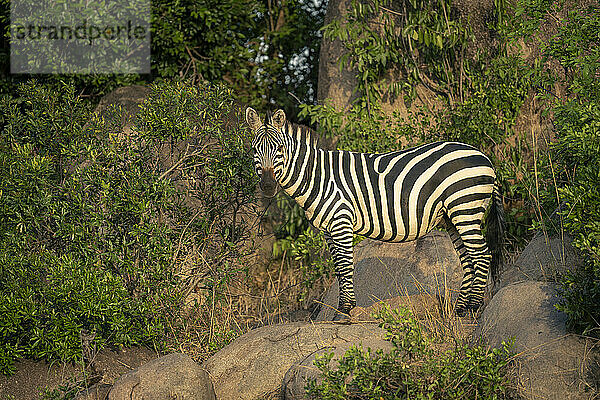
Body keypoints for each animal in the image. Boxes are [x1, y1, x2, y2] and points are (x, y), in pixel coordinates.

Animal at [246, 106, 504, 318]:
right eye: (255, 149)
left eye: (280, 148)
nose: (267, 186)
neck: (317, 177)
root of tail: (485, 157)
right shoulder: (328, 229)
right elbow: (338, 268)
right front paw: (344, 308)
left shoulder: (341, 220)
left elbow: (345, 265)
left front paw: (344, 311)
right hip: (453, 216)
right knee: (468, 259)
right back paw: (461, 309)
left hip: (466, 208)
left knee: (482, 255)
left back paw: (473, 308)